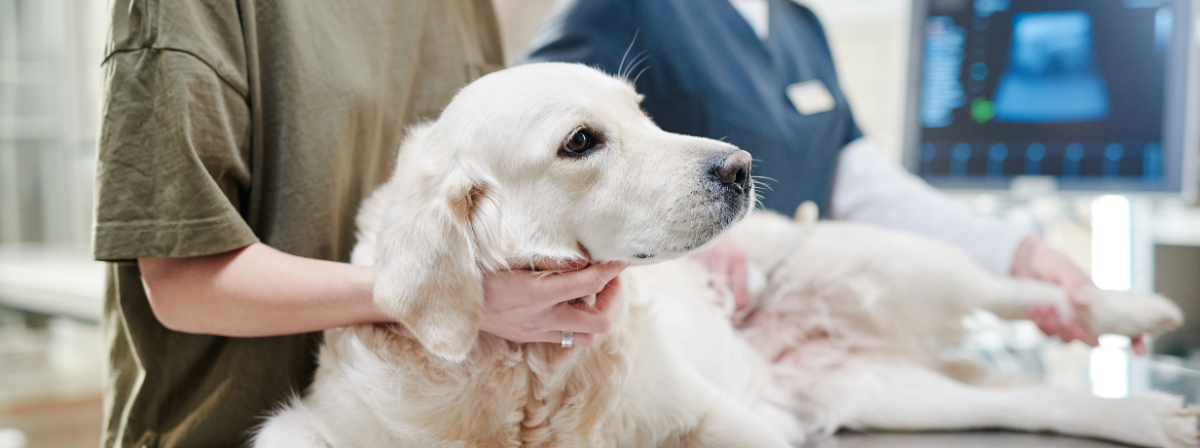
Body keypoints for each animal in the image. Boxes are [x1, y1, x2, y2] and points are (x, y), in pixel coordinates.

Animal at [250, 63, 1190, 446]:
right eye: (582, 141)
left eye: (641, 109)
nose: (738, 166)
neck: (529, 374)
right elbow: (288, 435)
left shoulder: (729, 423)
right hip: (888, 391)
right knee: (1038, 400)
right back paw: (1152, 415)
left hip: (887, 259)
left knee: (1013, 290)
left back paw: (1127, 306)